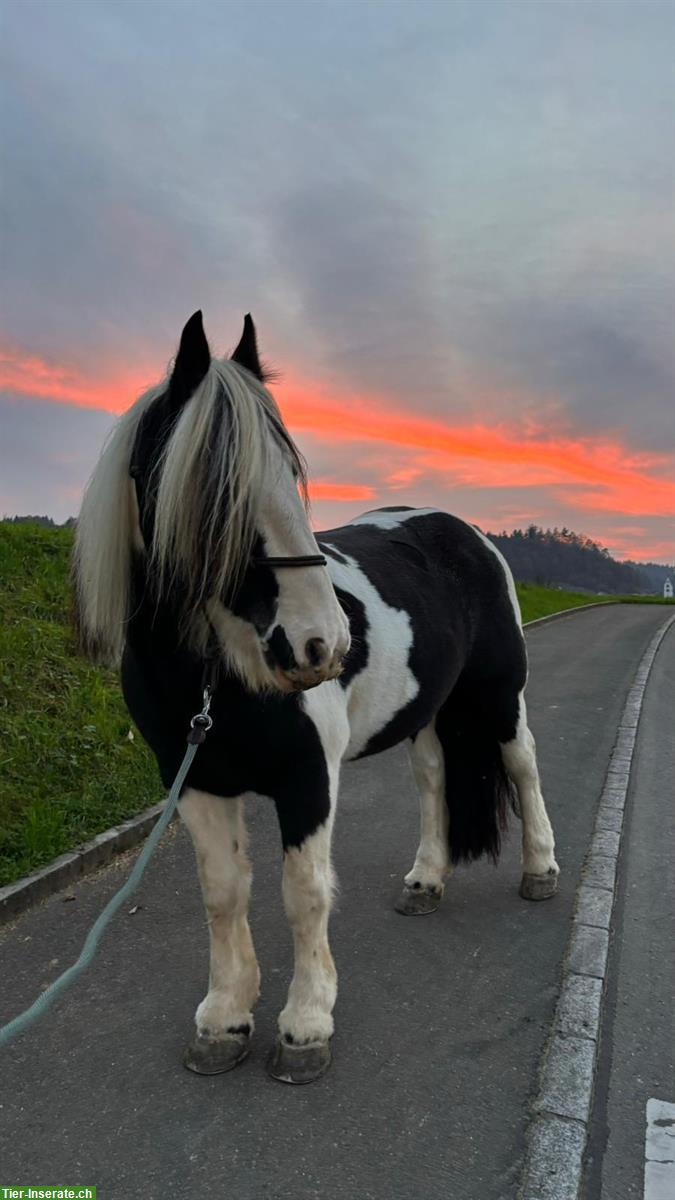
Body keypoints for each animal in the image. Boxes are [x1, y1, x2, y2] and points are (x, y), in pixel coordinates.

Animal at [73, 312, 557, 1089]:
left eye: (292, 472)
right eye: (217, 489)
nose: (320, 643)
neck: (213, 679)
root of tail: (464, 531)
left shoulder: (308, 780)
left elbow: (303, 895)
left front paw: (305, 1024)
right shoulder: (196, 780)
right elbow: (223, 893)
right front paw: (224, 1017)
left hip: (498, 694)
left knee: (523, 766)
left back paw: (539, 870)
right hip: (426, 712)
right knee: (433, 780)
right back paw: (426, 879)